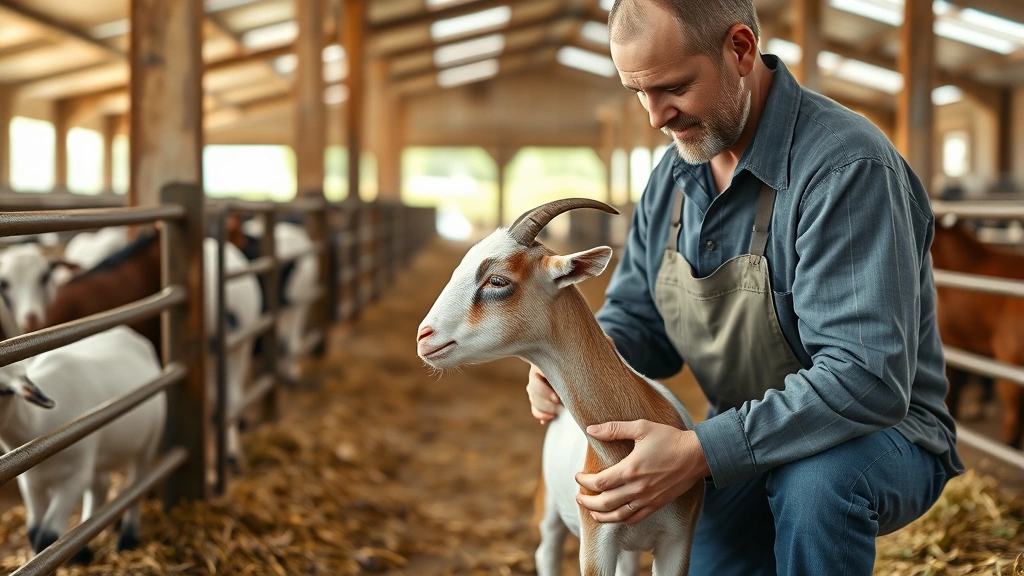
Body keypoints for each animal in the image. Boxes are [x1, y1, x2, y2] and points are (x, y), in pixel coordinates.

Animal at [0, 326, 165, 564]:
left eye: (3, 391)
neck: (37, 424)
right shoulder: (31, 482)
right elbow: (33, 532)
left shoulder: (74, 477)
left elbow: (47, 536)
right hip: (96, 457)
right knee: (101, 488)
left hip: (147, 444)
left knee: (136, 486)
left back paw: (127, 537)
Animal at [416, 199, 703, 576]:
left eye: (497, 279)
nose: (423, 336)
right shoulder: (596, 540)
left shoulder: (677, 539)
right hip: (550, 512)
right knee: (546, 553)